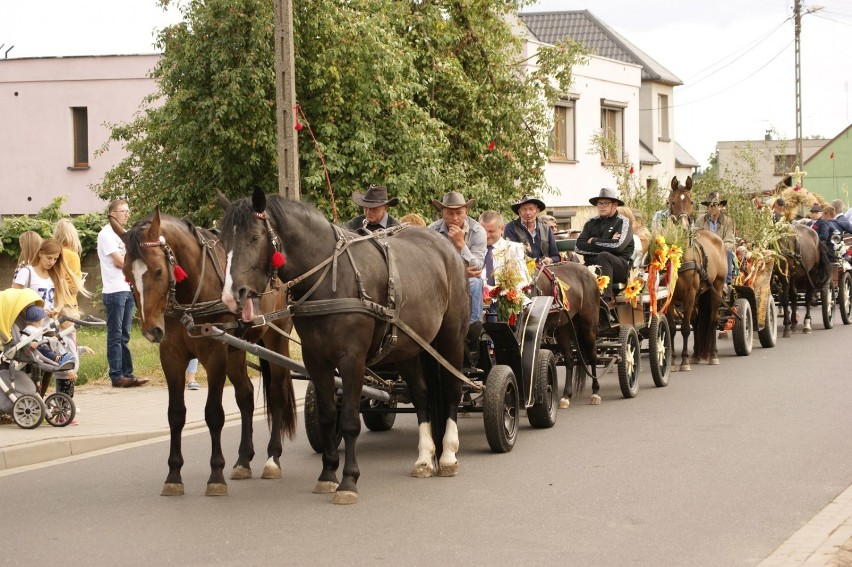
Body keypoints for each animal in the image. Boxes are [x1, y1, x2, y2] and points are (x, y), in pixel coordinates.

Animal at [110, 210, 296, 496]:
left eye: (158, 271)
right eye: (127, 274)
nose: (151, 331)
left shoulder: (215, 355)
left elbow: (214, 414)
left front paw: (215, 475)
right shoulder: (172, 358)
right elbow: (175, 414)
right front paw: (174, 475)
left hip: (275, 339)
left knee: (276, 394)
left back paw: (272, 458)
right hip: (237, 350)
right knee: (245, 397)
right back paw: (243, 459)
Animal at [216, 190, 470, 506]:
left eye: (253, 237)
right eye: (223, 241)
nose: (231, 295)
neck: (329, 278)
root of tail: (448, 249)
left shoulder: (352, 360)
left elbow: (349, 420)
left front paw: (348, 480)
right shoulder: (316, 360)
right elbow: (327, 417)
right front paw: (327, 475)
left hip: (451, 339)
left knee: (452, 389)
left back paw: (447, 455)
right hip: (408, 347)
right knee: (422, 395)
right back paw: (424, 457)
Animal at [532, 264, 600, 406]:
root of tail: (587, 271)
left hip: (589, 326)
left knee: (592, 355)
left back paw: (595, 392)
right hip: (563, 327)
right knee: (569, 358)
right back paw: (566, 395)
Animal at [664, 178, 724, 372]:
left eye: (691, 202)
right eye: (672, 202)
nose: (683, 228)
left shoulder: (689, 294)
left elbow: (684, 328)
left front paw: (684, 361)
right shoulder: (669, 297)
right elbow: (672, 329)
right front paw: (672, 362)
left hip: (716, 288)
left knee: (712, 320)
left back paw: (713, 355)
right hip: (699, 295)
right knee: (697, 321)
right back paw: (697, 354)